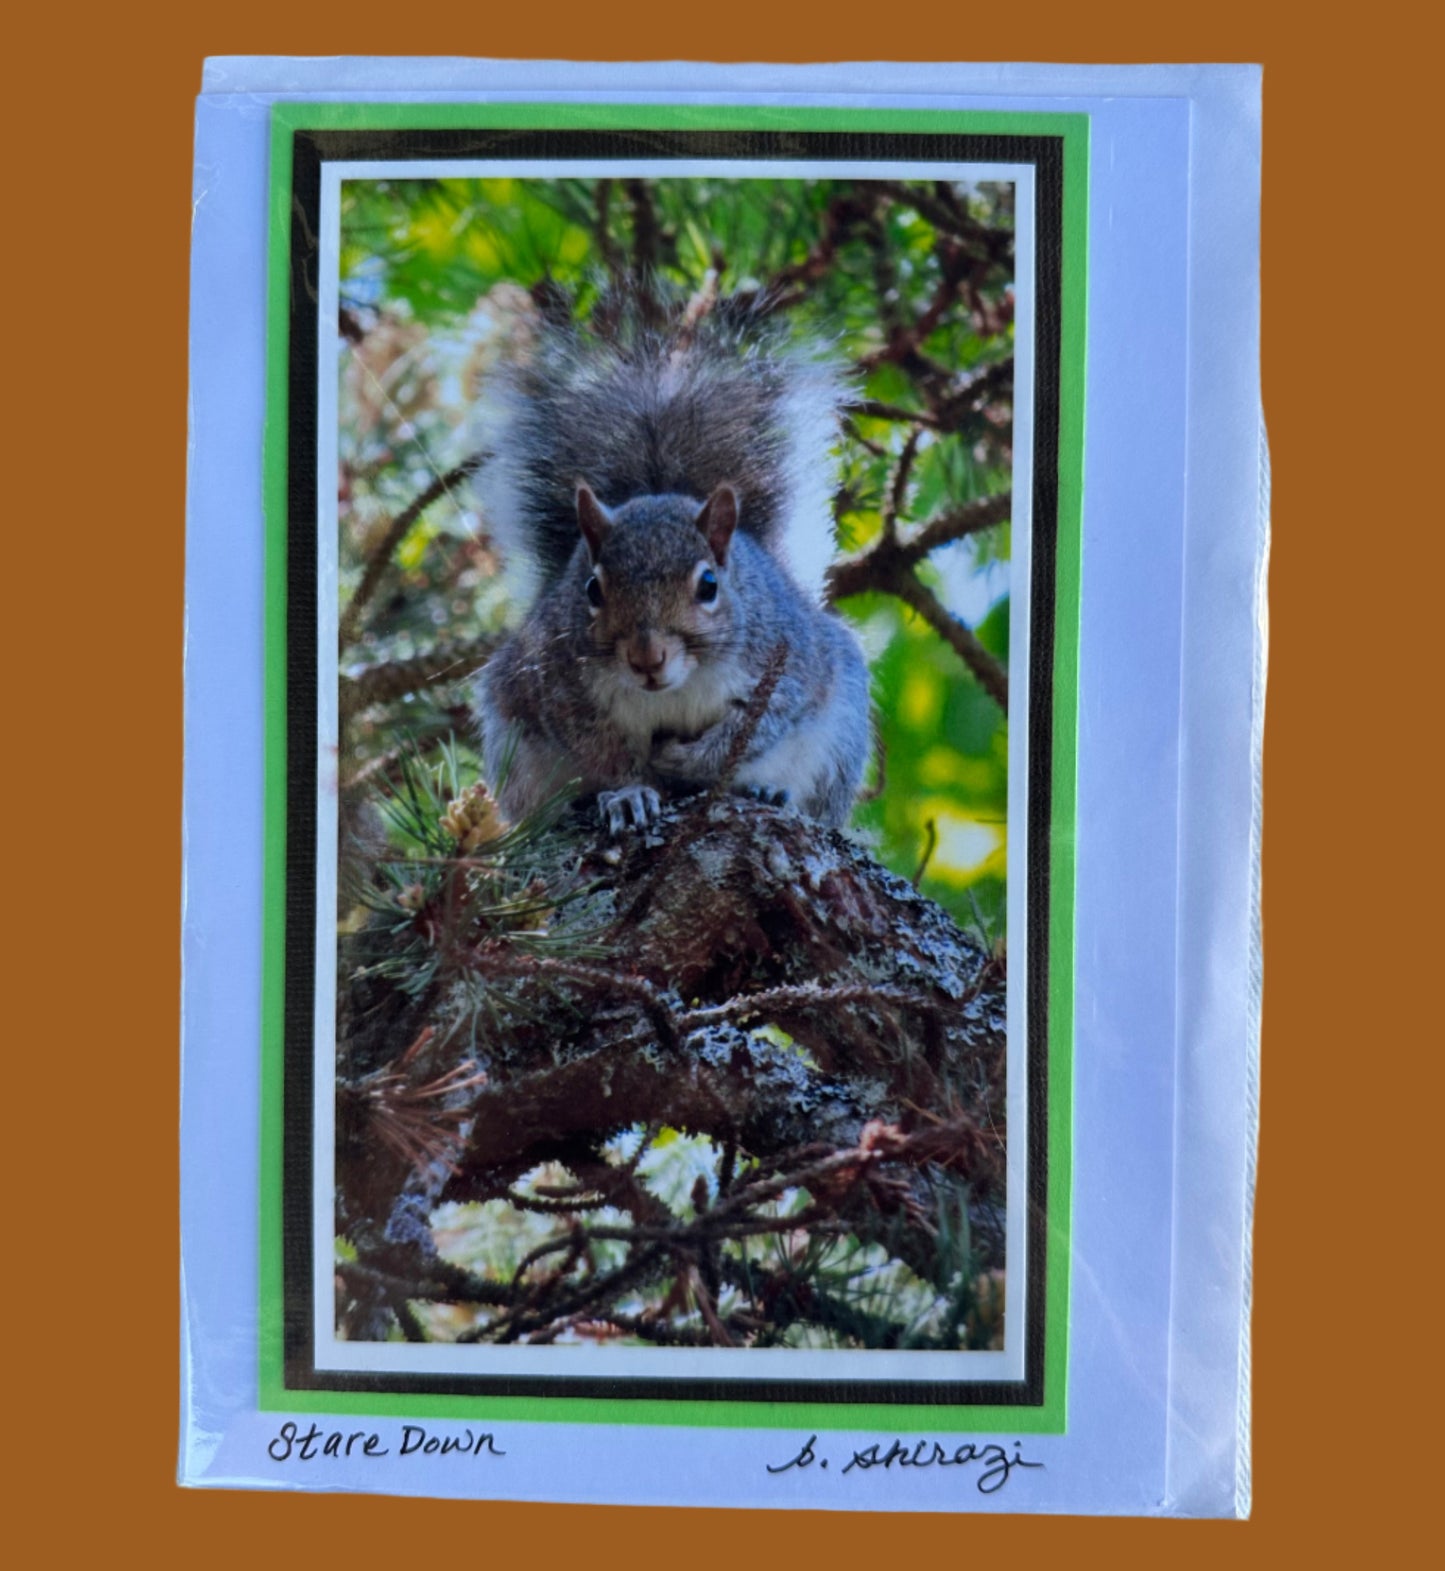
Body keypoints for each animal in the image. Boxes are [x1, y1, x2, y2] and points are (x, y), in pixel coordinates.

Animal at [471, 295, 867, 835]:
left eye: (708, 585)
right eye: (592, 590)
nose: (647, 658)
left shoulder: (789, 665)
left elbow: (757, 726)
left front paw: (688, 763)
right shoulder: (557, 687)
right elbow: (605, 753)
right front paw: (631, 794)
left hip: (840, 734)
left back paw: (769, 790)